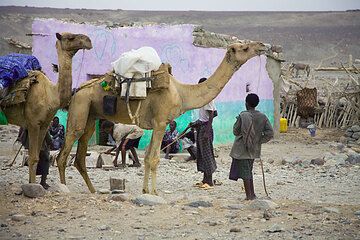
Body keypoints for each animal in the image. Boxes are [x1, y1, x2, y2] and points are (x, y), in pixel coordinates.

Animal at [2, 32, 92, 184]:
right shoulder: (33, 123)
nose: (88, 40)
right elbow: (32, 158)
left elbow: (37, 157)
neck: (52, 93)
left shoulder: (44, 125)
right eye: (70, 37)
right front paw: (32, 185)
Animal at [57, 41, 268, 195]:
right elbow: (154, 158)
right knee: (64, 151)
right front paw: (154, 192)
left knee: (80, 152)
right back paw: (64, 189)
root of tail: (77, 91)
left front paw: (145, 190)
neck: (181, 93)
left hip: (90, 114)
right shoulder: (160, 122)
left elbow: (148, 156)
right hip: (80, 106)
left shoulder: (156, 124)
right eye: (244, 48)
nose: (262, 45)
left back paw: (92, 190)